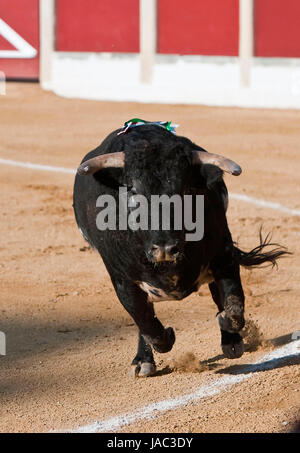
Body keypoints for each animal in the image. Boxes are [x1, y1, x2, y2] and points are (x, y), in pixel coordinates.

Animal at [72, 122, 288, 374]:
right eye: (133, 190)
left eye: (185, 189)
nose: (165, 248)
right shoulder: (122, 280)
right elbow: (147, 323)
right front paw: (159, 343)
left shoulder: (224, 256)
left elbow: (233, 306)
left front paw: (228, 328)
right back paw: (144, 361)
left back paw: (231, 342)